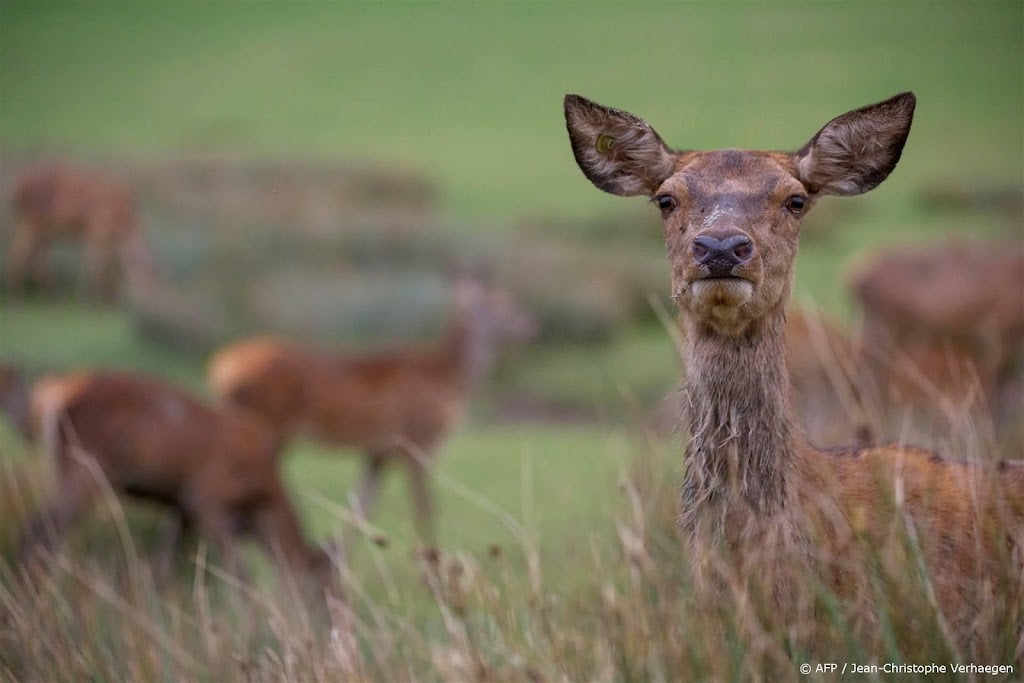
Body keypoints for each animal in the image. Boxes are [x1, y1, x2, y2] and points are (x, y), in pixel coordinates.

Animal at [0, 362, 333, 593]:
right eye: (327, 590)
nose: (331, 626)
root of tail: (52, 399)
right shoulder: (206, 496)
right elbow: (240, 572)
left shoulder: (180, 506)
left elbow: (161, 566)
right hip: (85, 467)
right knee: (41, 533)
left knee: (36, 531)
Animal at [5, 163, 159, 301]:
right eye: (146, 275)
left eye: (156, 274)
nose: (153, 295)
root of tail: (16, 188)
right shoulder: (98, 227)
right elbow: (97, 262)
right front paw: (94, 298)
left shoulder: (105, 235)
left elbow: (109, 262)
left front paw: (107, 297)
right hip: (33, 221)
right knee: (19, 253)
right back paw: (17, 296)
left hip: (40, 226)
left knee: (37, 255)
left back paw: (47, 293)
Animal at [209, 274, 536, 557]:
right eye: (502, 303)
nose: (529, 323)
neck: (449, 376)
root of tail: (222, 371)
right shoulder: (418, 440)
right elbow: (424, 509)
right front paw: (435, 568)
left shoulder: (379, 452)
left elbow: (360, 508)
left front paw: (340, 563)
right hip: (268, 428)